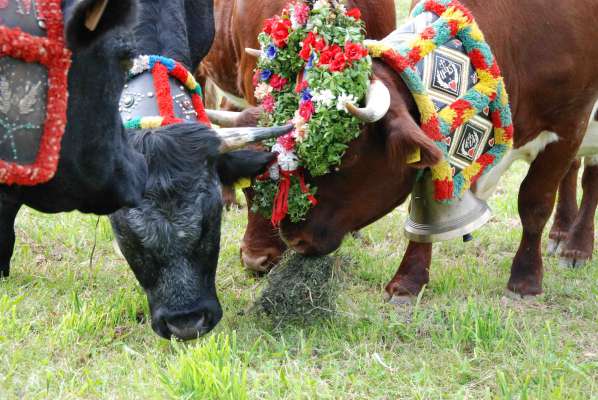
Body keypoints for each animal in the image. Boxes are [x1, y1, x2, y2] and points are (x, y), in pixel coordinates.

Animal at [205, 0, 598, 296]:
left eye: (344, 158)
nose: (294, 239)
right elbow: (425, 203)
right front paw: (409, 280)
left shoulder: (570, 124)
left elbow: (534, 203)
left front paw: (526, 280)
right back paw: (562, 234)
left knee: (586, 178)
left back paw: (575, 246)